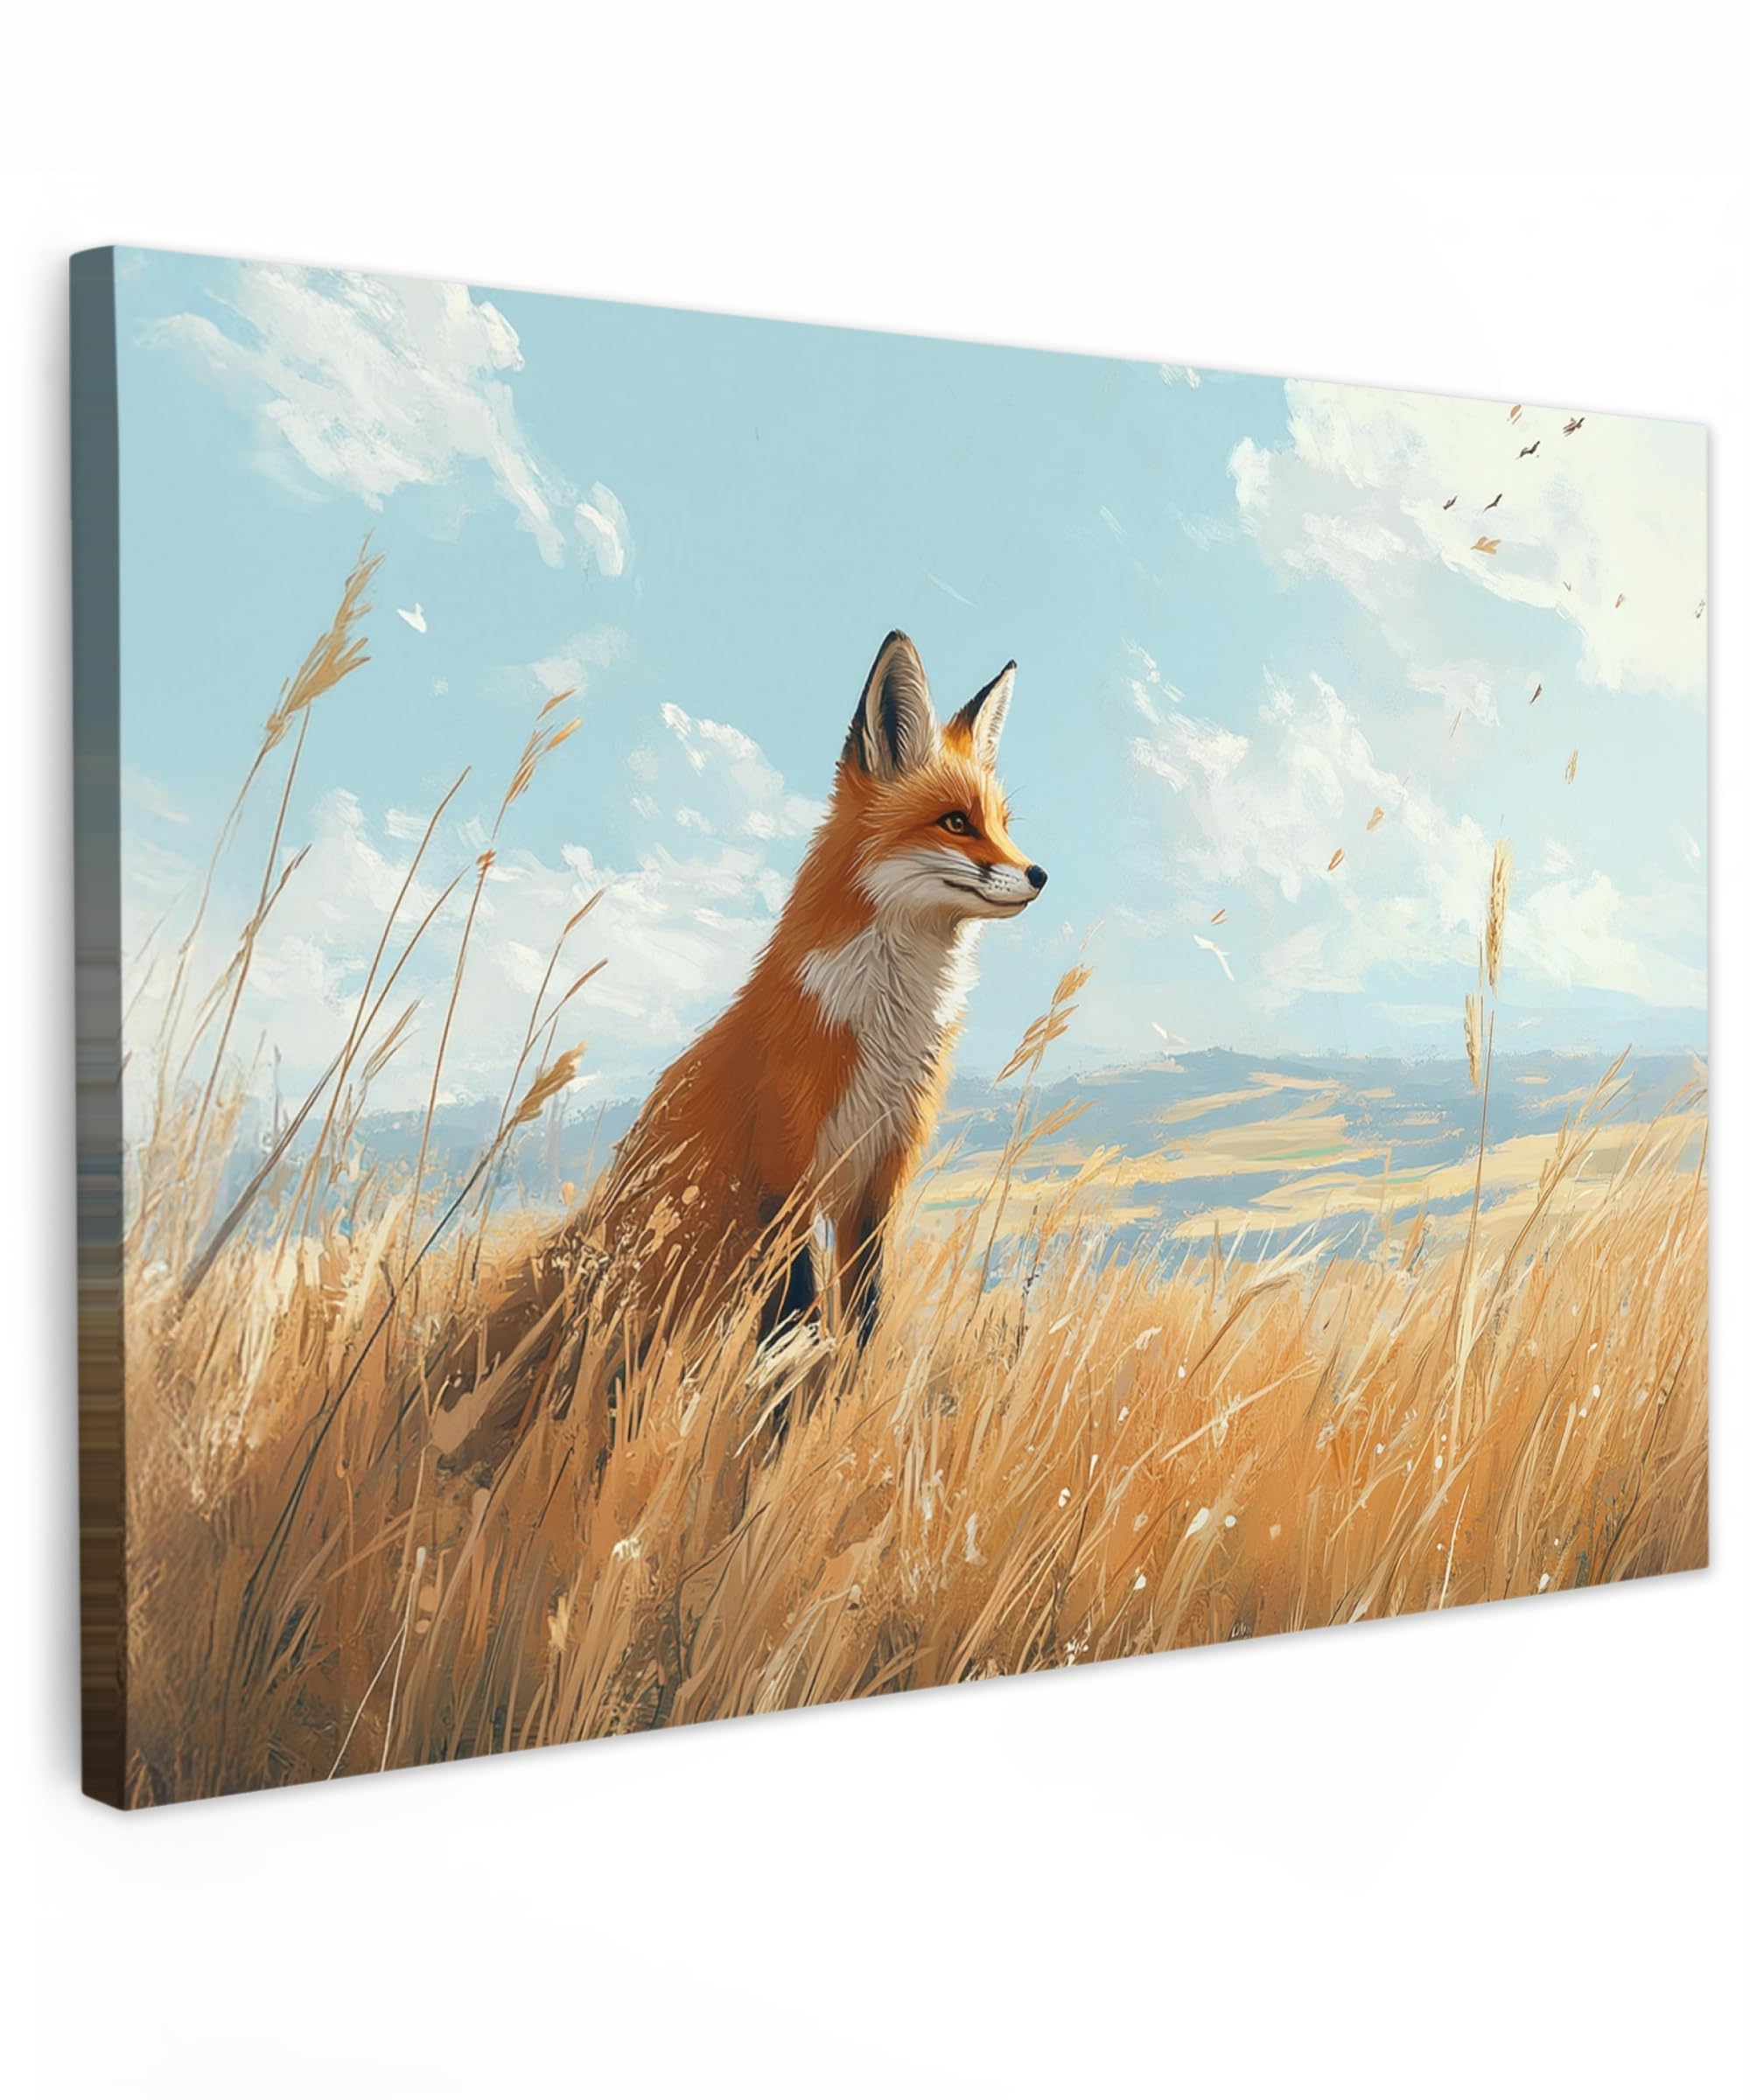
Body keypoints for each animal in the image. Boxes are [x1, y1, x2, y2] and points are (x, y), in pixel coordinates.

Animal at [585, 628, 1048, 1357]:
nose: (1039, 874)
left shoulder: (878, 1177)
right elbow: (794, 1311)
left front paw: (852, 1384)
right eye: (954, 822)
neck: (885, 1029)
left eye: (1002, 823)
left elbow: (864, 1310)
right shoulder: (785, 1168)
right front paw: (787, 1383)